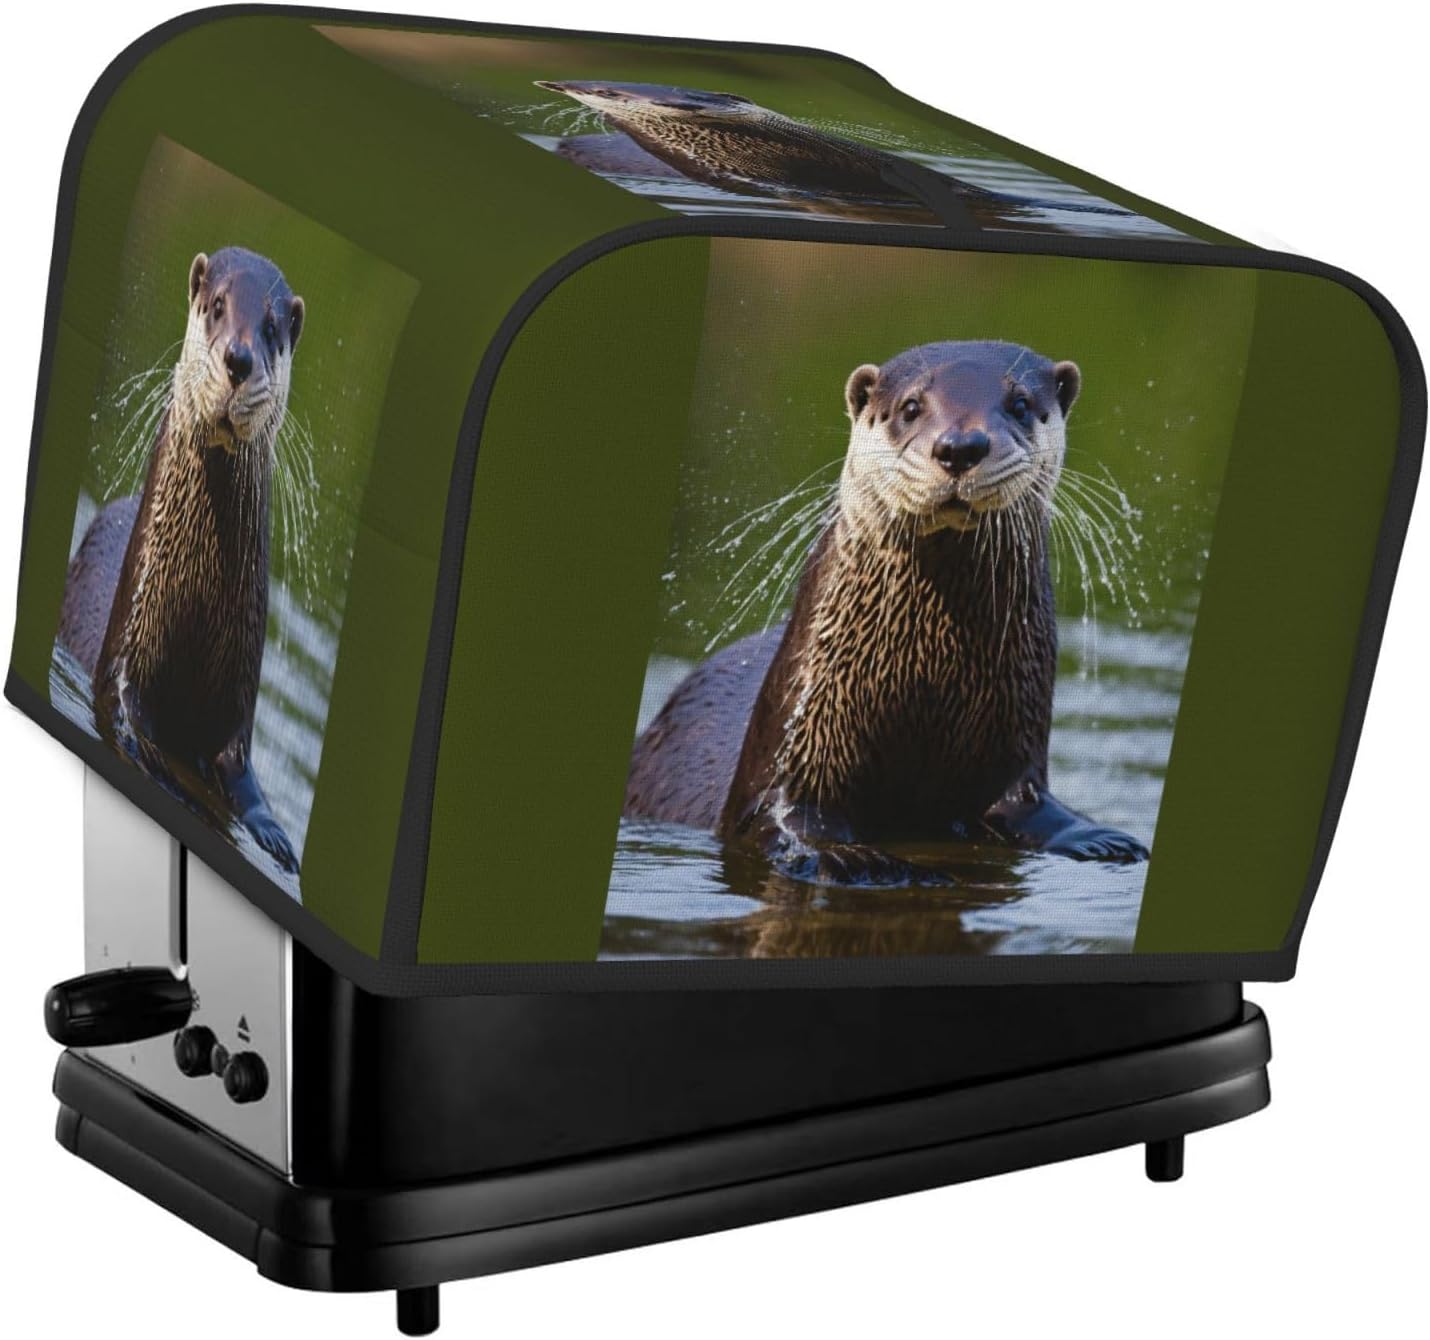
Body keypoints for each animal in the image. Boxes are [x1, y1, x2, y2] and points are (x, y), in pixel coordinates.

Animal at [57, 247, 305, 873]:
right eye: (216, 305)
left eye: (272, 329)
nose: (239, 358)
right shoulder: (126, 657)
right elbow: (125, 714)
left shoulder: (236, 710)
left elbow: (242, 777)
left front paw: (275, 837)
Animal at [624, 340, 1149, 884]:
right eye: (911, 407)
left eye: (1021, 404)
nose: (960, 446)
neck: (926, 682)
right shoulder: (796, 751)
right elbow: (789, 822)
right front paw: (856, 858)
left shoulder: (1017, 743)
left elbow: (1024, 804)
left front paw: (1101, 837)